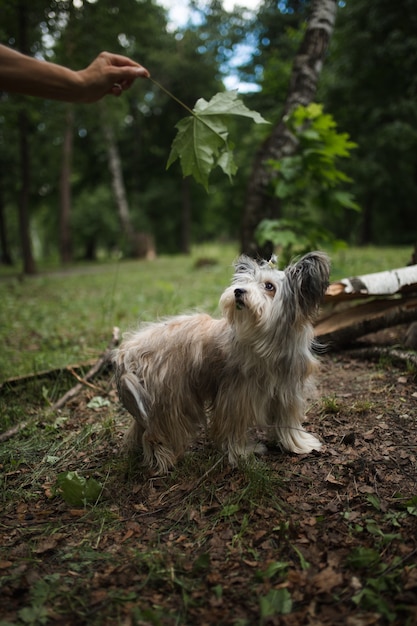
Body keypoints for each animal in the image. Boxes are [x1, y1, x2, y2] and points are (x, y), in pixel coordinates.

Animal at [112, 251, 330, 470]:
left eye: (269, 286)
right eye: (244, 281)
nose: (238, 291)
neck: (268, 340)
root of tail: (127, 351)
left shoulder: (287, 392)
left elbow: (288, 422)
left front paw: (298, 445)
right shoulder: (236, 396)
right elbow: (232, 427)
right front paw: (243, 453)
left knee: (140, 428)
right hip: (170, 399)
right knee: (155, 432)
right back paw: (164, 457)